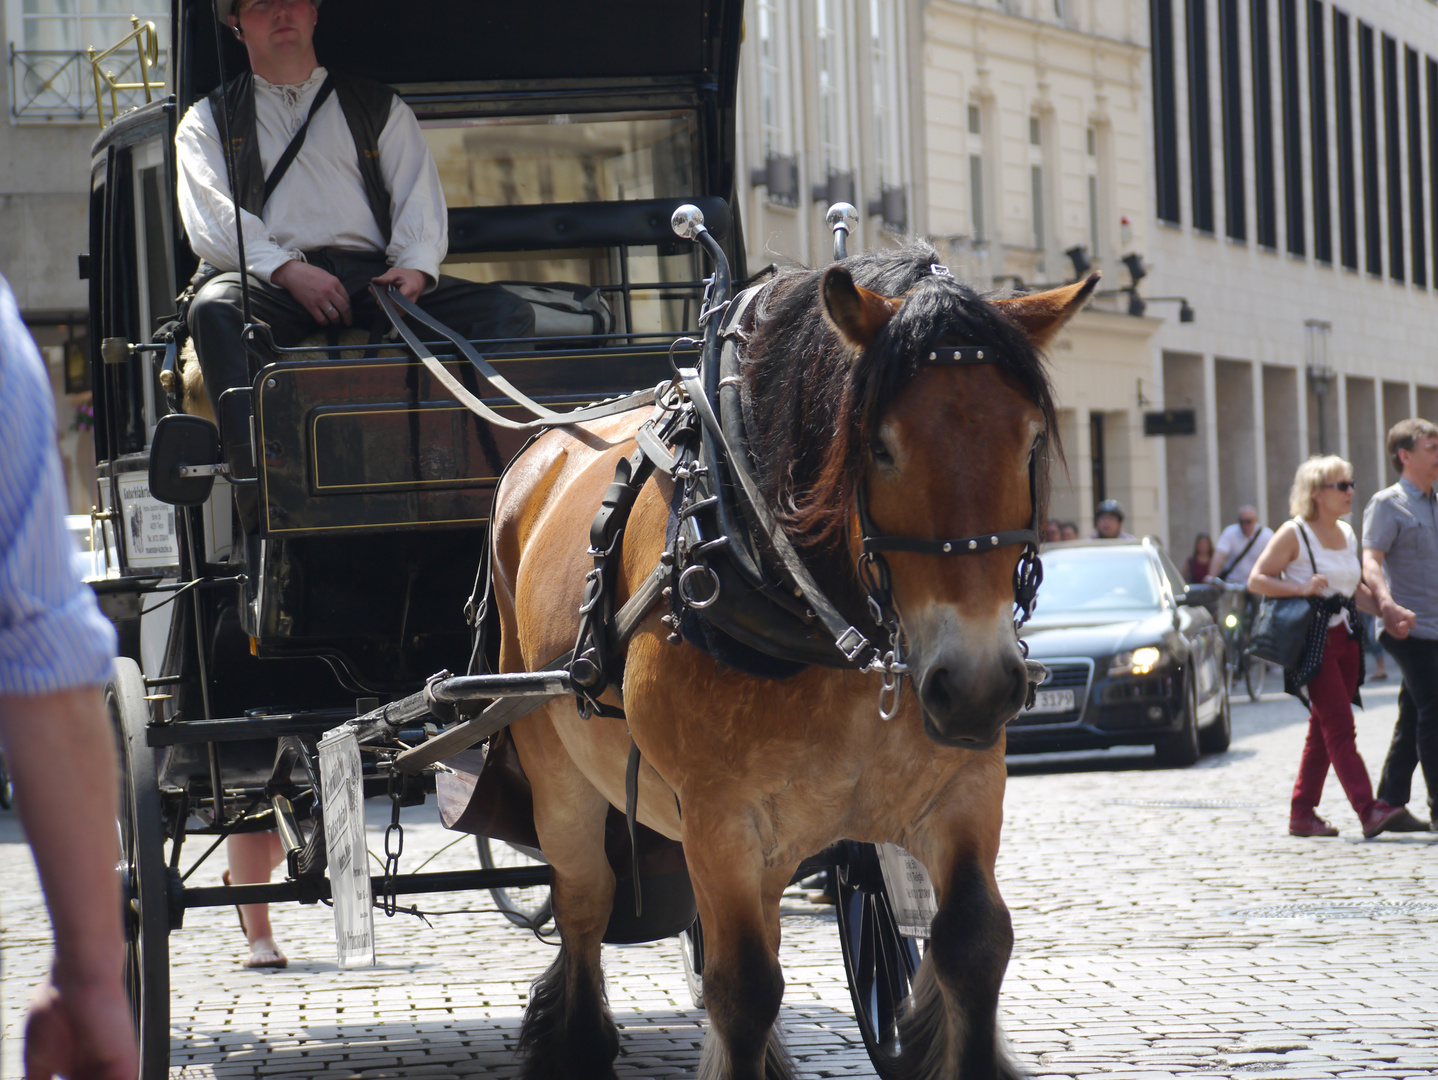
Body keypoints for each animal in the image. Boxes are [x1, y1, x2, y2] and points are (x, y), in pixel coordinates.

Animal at [488, 247, 1092, 1080]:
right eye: (880, 446)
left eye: (1029, 441)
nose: (974, 687)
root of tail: (537, 455)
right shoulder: (720, 820)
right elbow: (743, 988)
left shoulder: (967, 789)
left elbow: (973, 943)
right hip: (556, 766)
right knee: (584, 902)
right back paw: (575, 1040)